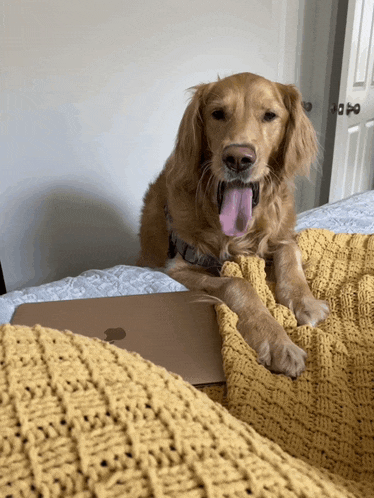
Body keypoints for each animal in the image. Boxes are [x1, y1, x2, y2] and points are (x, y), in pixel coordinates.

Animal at [137, 72, 328, 378]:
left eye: (270, 115)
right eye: (218, 114)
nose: (238, 158)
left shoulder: (280, 237)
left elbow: (290, 254)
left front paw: (304, 301)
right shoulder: (179, 267)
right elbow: (238, 283)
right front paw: (277, 341)